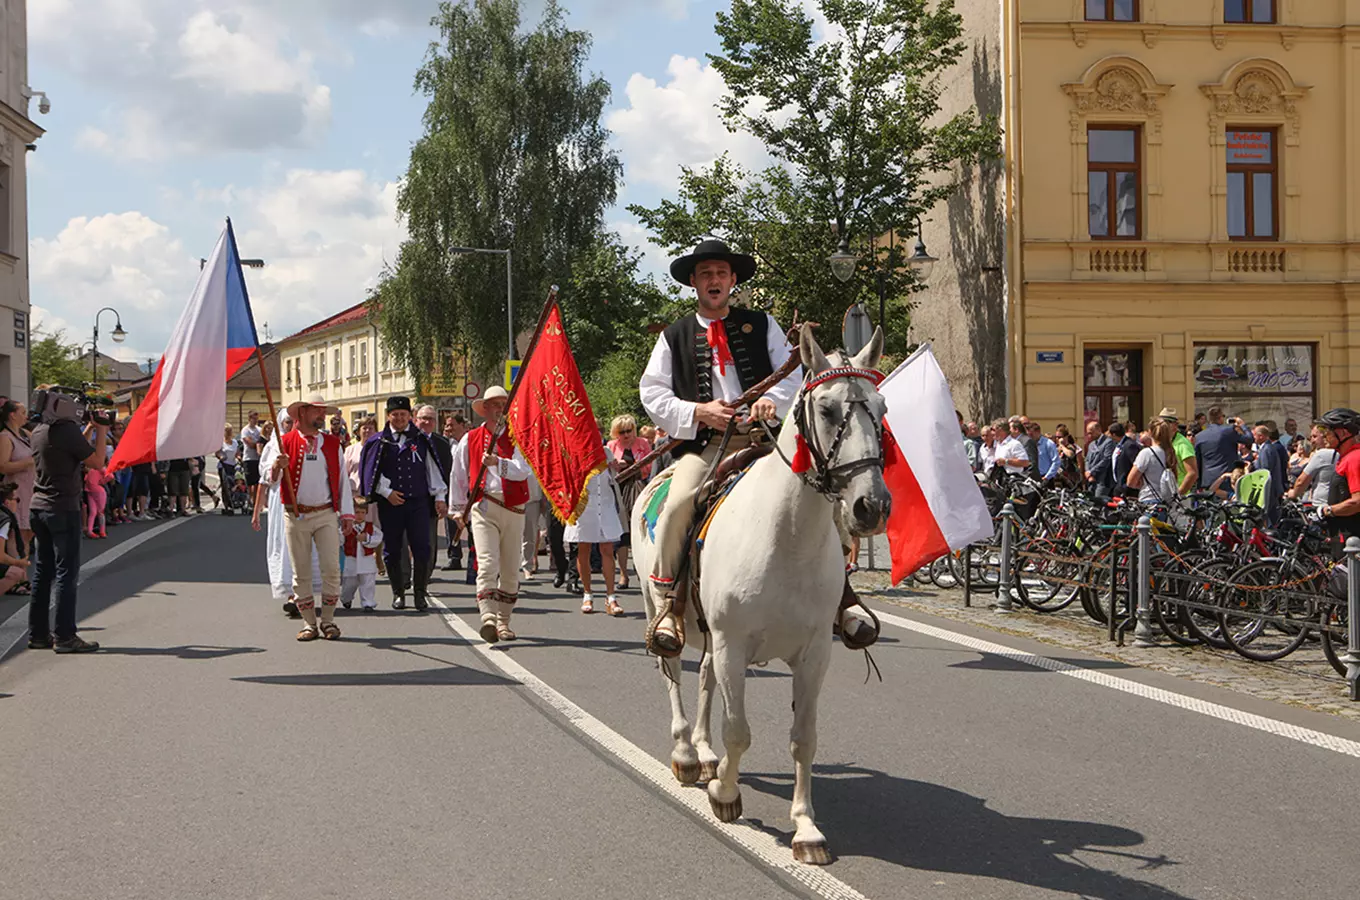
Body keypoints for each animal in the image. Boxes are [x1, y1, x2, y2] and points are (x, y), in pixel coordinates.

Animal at [633, 326, 892, 870]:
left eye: (882, 407)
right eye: (827, 409)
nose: (871, 506)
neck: (784, 536)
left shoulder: (813, 654)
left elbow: (803, 739)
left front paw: (806, 828)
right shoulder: (734, 644)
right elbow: (739, 729)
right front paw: (726, 795)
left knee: (704, 678)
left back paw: (705, 753)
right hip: (660, 611)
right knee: (673, 676)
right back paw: (687, 755)